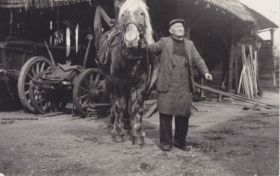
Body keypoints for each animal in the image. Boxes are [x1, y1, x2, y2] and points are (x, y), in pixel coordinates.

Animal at [97, 0, 154, 145]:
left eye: (141, 13)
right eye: (123, 15)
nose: (131, 40)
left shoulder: (141, 83)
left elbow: (136, 107)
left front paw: (137, 134)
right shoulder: (119, 82)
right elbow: (119, 106)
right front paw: (118, 133)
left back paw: (128, 125)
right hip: (109, 82)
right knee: (113, 101)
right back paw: (114, 122)